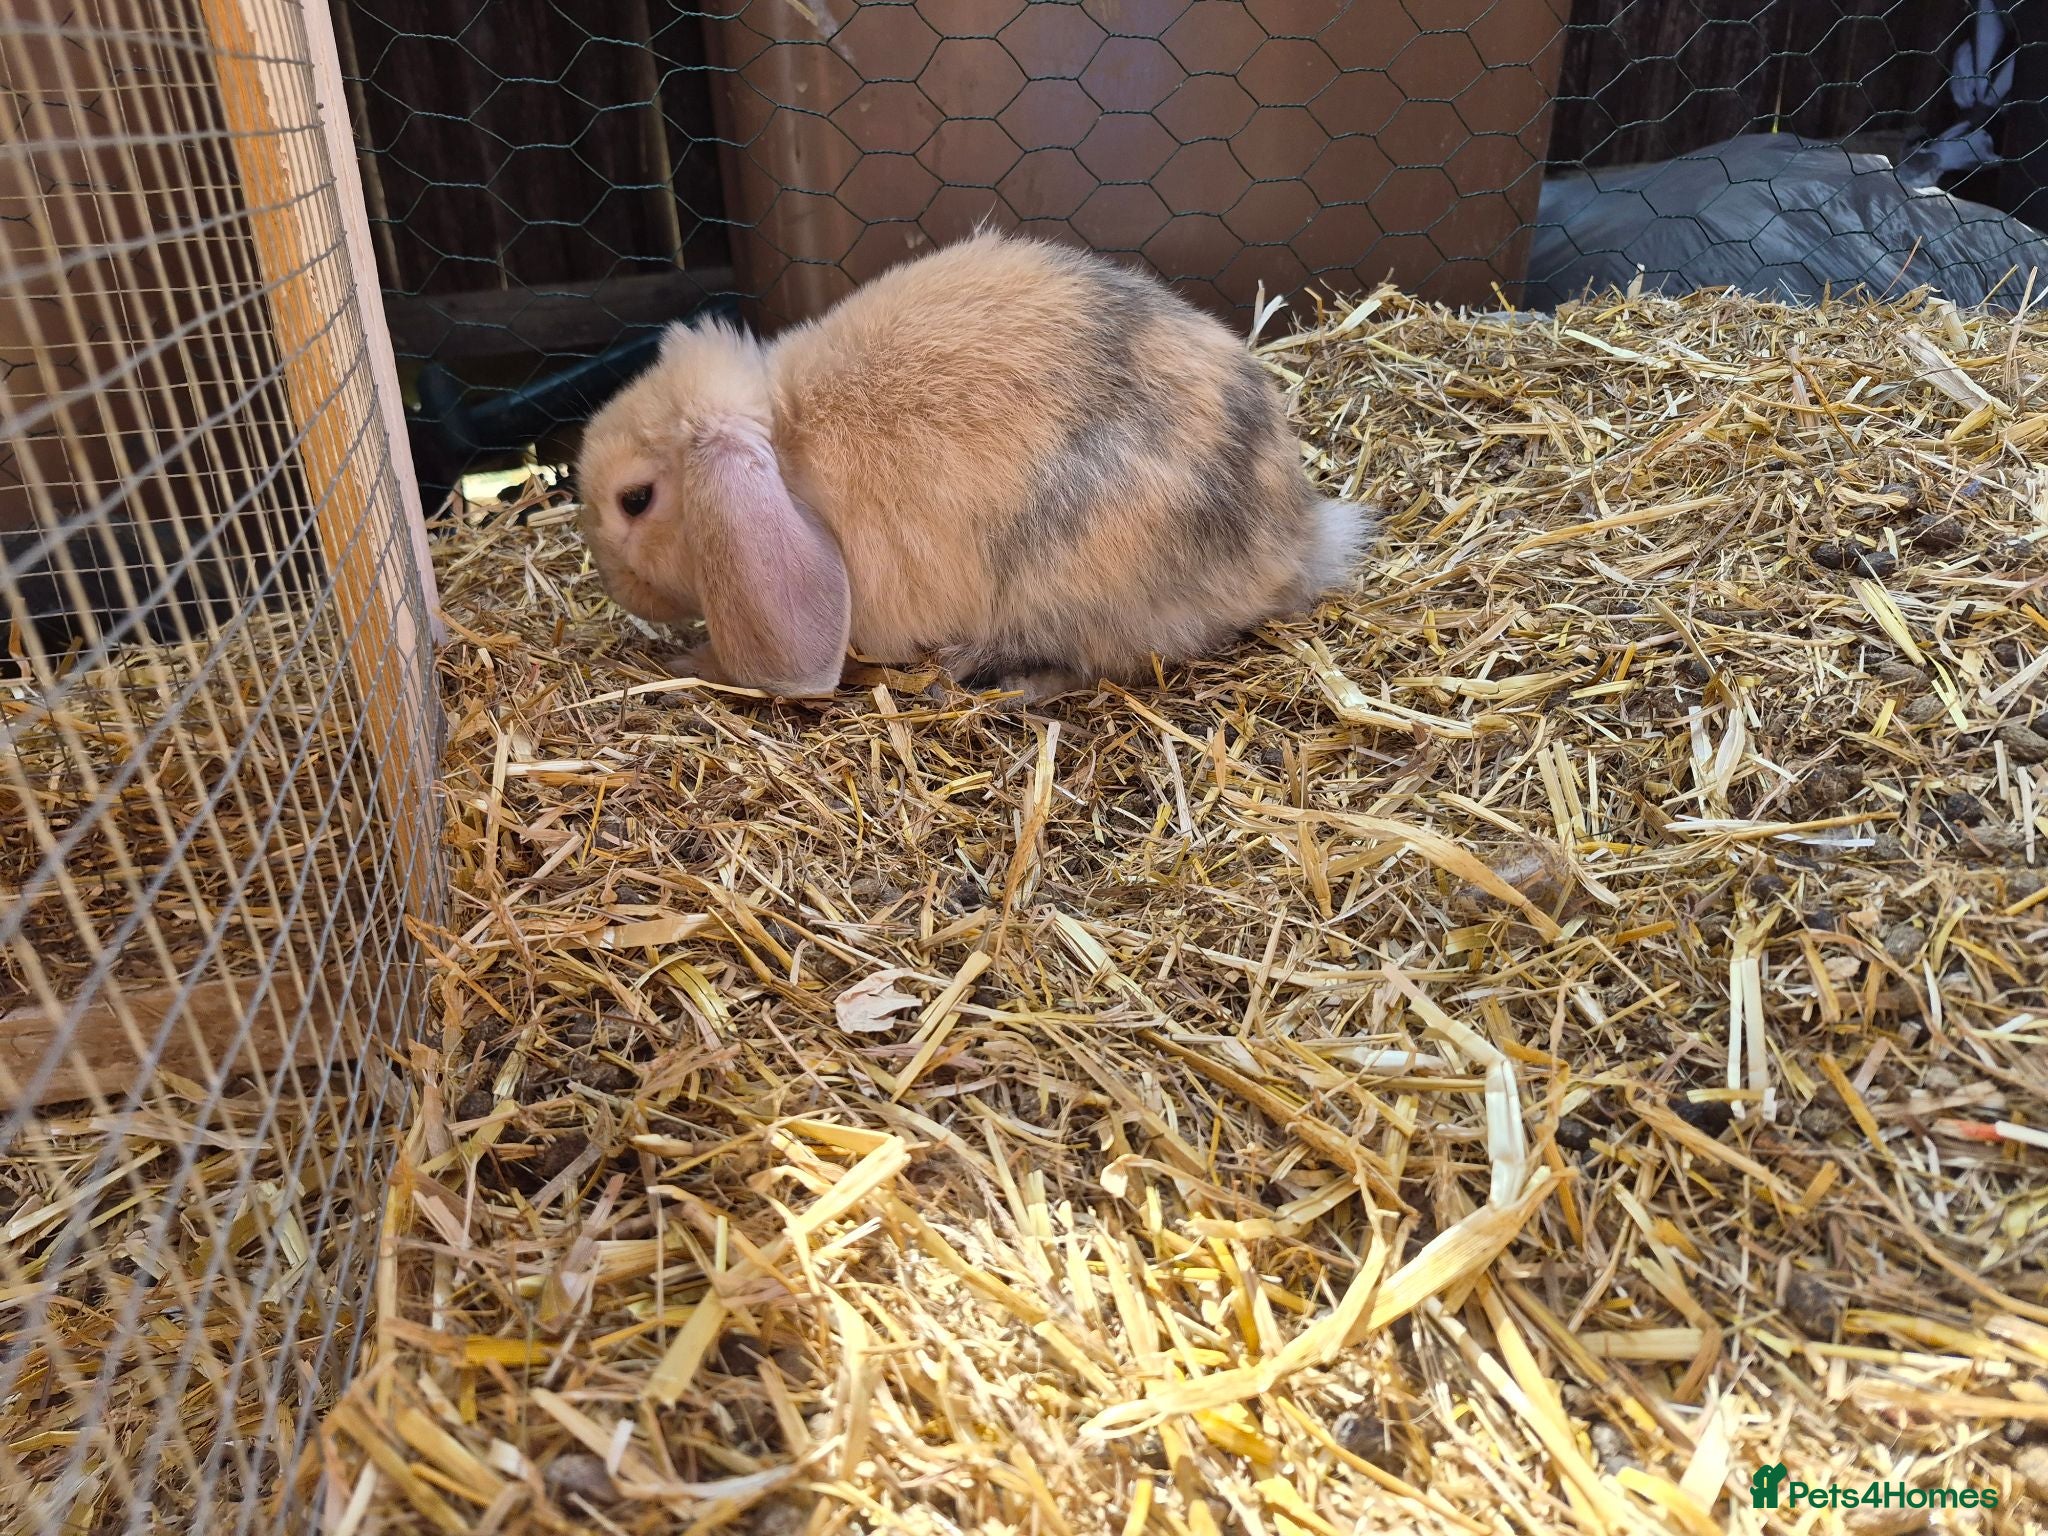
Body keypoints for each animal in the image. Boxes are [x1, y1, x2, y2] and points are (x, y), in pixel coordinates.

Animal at [575, 231, 1372, 701]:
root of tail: (1294, 540)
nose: (614, 585)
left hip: (1070, 586)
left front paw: (687, 664)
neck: (784, 446)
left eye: (635, 500)